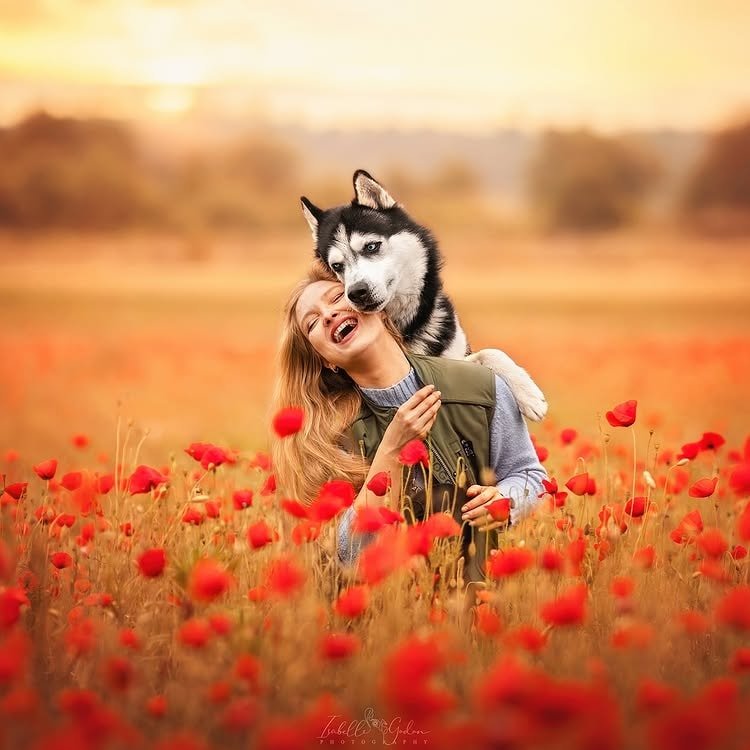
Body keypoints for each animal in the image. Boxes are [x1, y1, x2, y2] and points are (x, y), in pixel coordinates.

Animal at [302, 168, 548, 424]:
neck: (404, 326)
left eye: (371, 246)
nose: (357, 292)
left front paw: (529, 394)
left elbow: (490, 352)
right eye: (337, 266)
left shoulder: (455, 360)